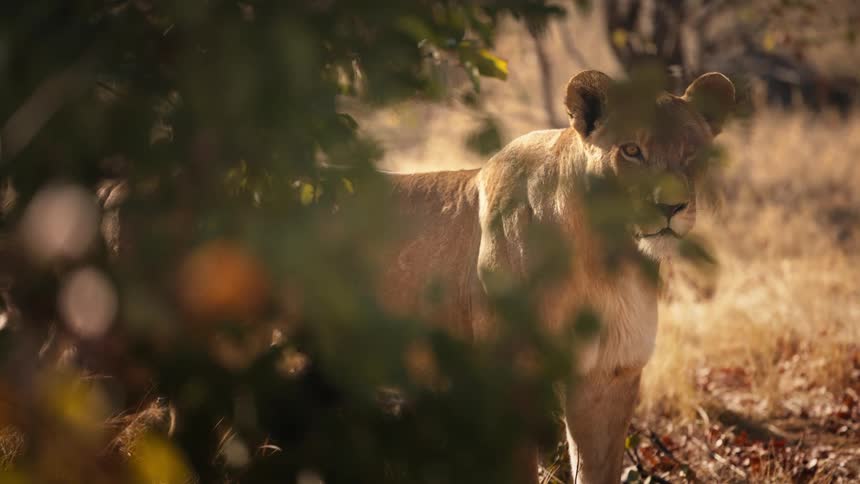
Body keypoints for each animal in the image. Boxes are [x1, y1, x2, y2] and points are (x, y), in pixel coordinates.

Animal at [378, 70, 735, 483]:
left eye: (691, 153)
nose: (671, 206)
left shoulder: (610, 376)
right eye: (631, 151)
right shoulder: (510, 381)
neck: (606, 260)